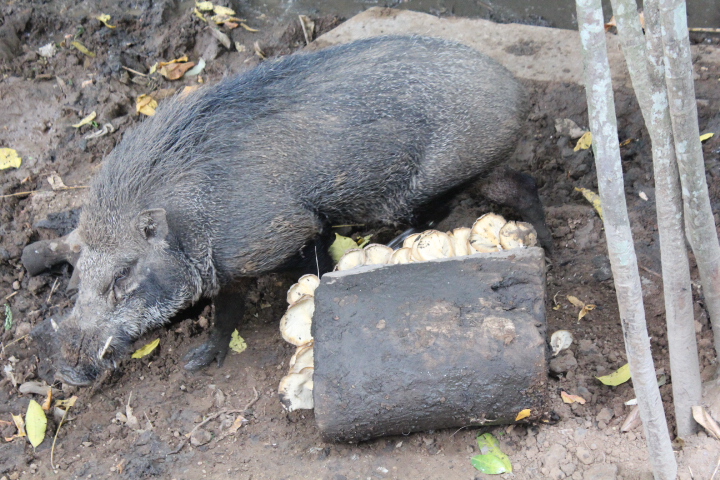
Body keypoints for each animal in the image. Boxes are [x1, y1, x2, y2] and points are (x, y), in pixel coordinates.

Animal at [47, 35, 551, 385]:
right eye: (78, 272)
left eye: (123, 274)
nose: (66, 372)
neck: (192, 221)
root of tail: (518, 91)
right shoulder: (230, 268)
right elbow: (226, 313)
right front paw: (199, 361)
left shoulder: (289, 232)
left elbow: (311, 269)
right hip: (481, 169)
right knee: (523, 187)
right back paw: (544, 246)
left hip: (431, 182)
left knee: (433, 213)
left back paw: (395, 244)